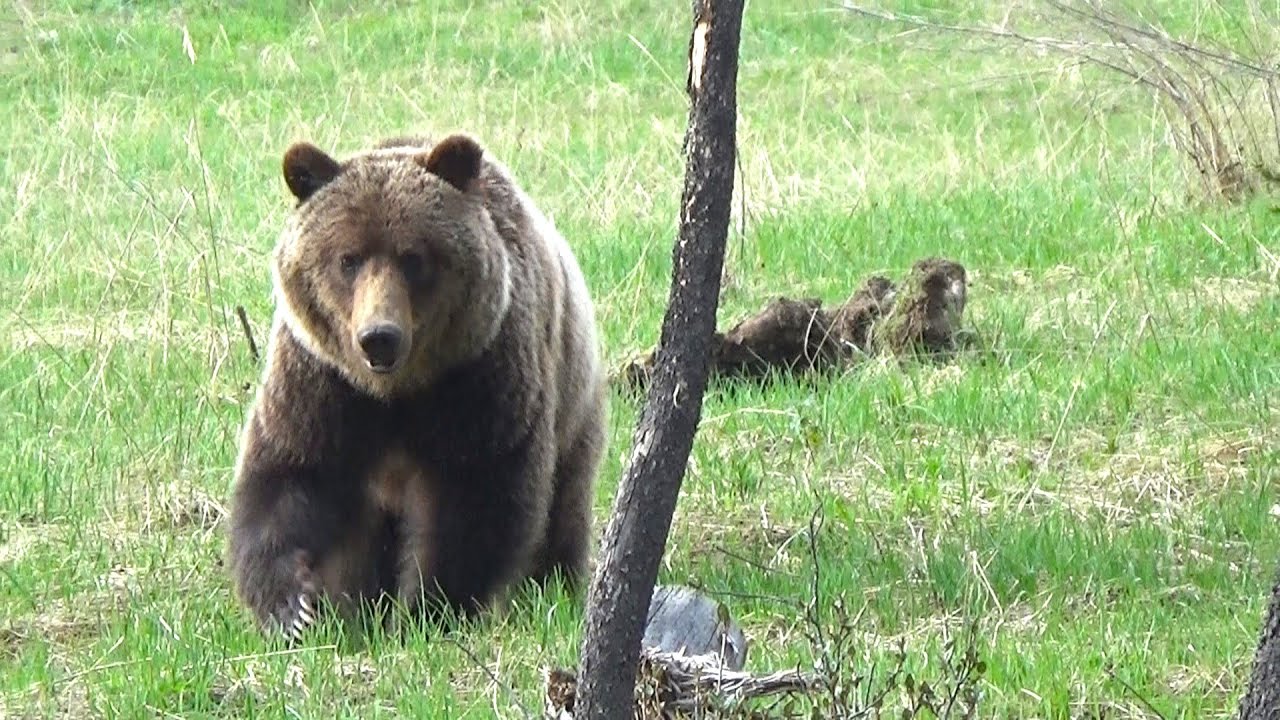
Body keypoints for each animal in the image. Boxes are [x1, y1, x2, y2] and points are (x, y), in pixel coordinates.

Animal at [226, 132, 608, 641]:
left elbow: (476, 498)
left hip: (573, 401)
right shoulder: (321, 382)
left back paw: (552, 583)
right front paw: (295, 607)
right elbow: (288, 476)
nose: (379, 337)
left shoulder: (480, 379)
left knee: (563, 504)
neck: (397, 394)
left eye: (413, 258)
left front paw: (427, 609)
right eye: (347, 259)